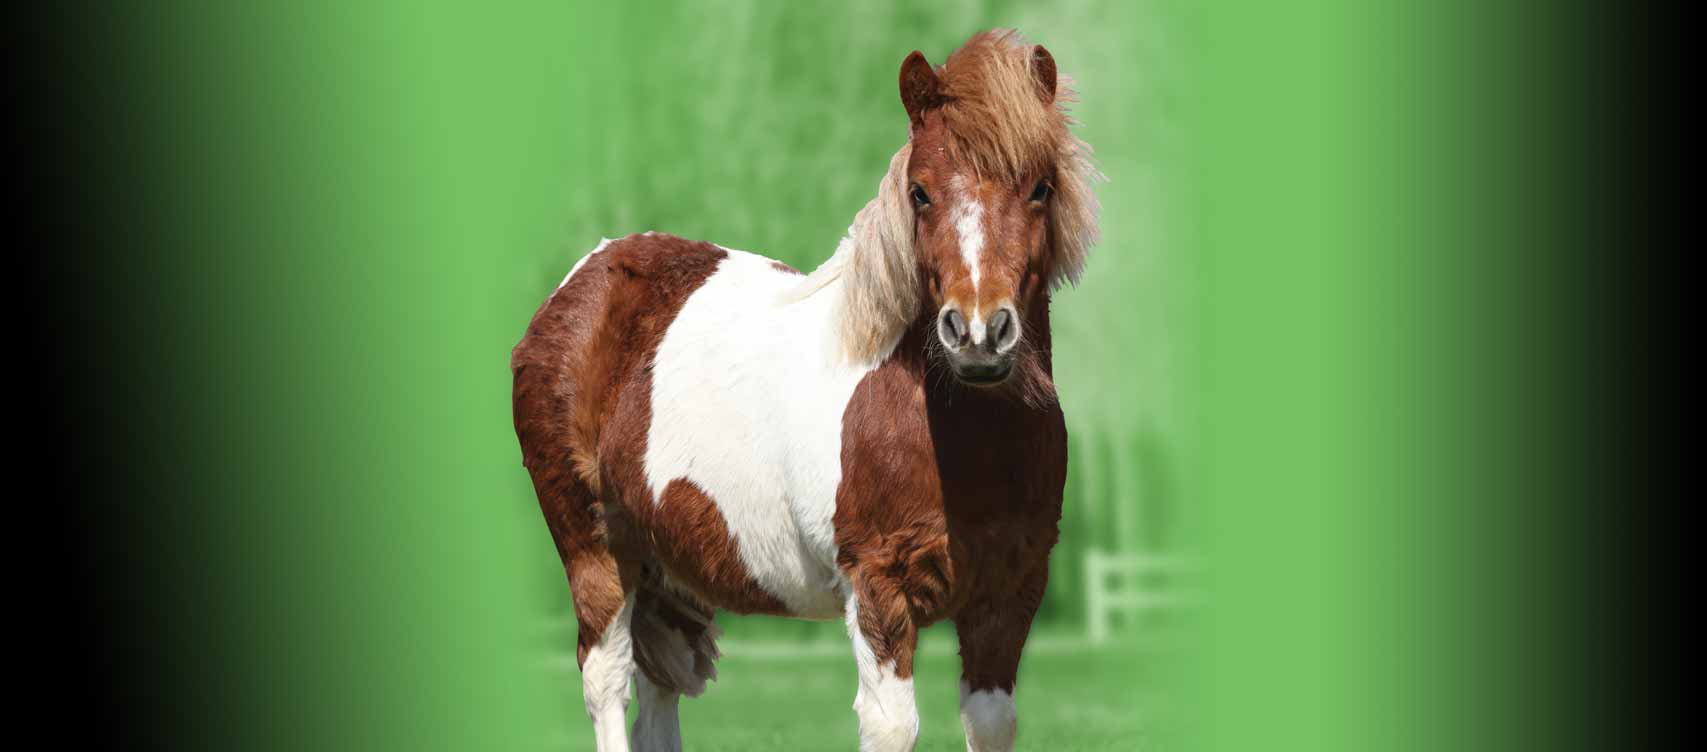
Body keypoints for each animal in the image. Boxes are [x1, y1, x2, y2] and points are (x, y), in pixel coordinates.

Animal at [512, 29, 1099, 752]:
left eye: (1041, 187)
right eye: (920, 193)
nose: (978, 334)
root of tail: (583, 277)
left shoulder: (1010, 593)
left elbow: (991, 722)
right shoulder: (879, 587)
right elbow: (891, 726)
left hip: (667, 570)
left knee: (659, 694)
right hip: (593, 547)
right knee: (606, 683)